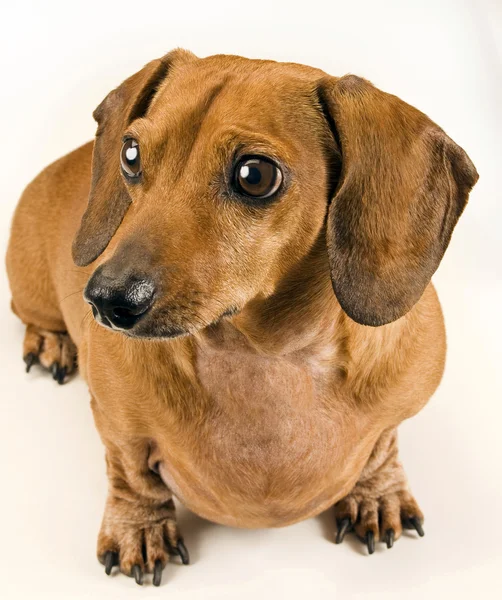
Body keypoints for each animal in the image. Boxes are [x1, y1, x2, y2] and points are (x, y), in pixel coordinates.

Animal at [6, 49, 478, 584]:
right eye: (131, 154)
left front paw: (377, 494)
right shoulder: (116, 424)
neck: (267, 356)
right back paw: (50, 342)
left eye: (255, 175)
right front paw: (139, 529)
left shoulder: (398, 410)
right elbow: (131, 475)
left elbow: (383, 446)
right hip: (32, 293)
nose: (105, 301)